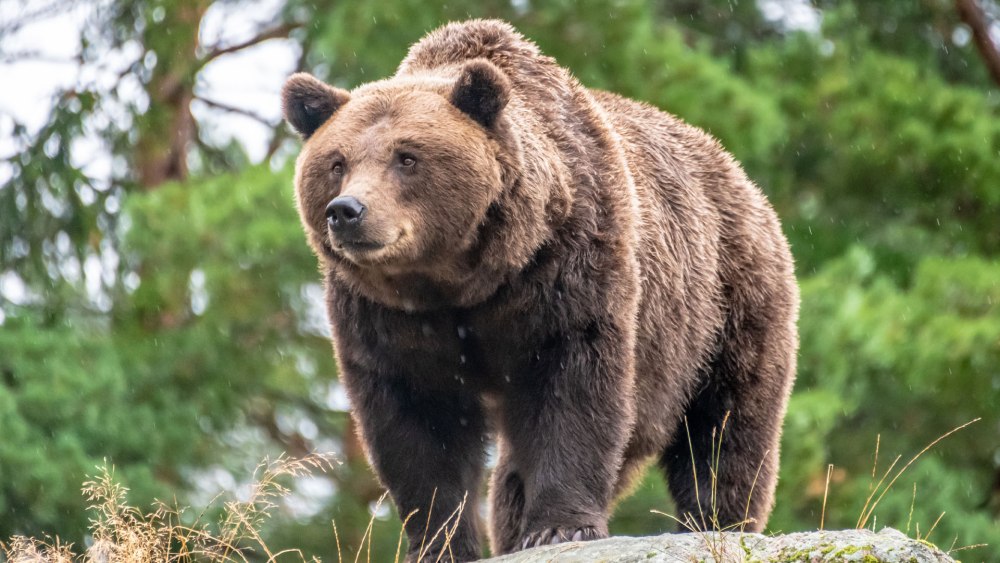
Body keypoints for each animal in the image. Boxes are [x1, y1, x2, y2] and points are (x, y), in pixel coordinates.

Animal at [280, 17, 796, 563]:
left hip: (724, 304)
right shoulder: (386, 317)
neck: (461, 281)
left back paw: (719, 521)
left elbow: (573, 390)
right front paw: (442, 542)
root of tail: (735, 170)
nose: (347, 211)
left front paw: (558, 527)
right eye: (337, 162)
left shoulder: (568, 270)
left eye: (407, 156)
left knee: (726, 424)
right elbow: (417, 422)